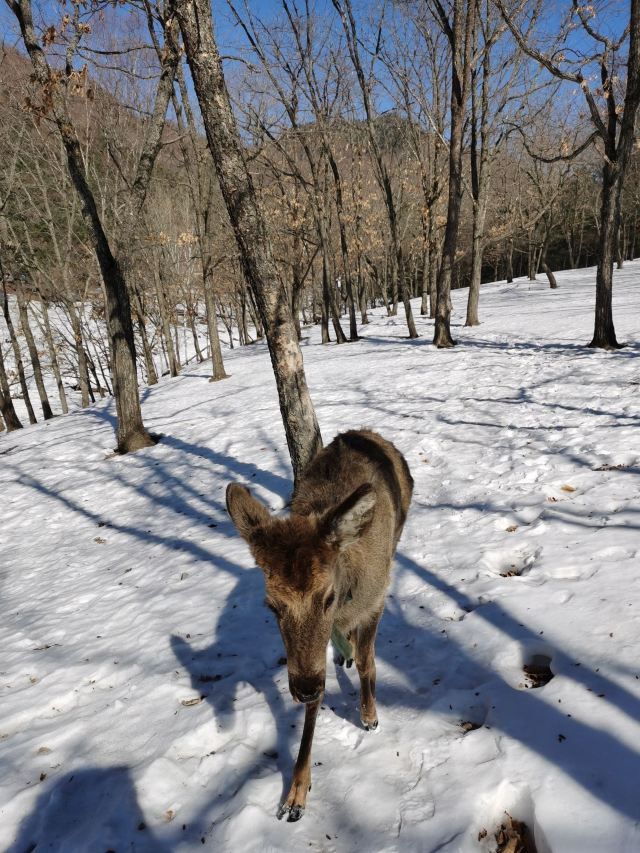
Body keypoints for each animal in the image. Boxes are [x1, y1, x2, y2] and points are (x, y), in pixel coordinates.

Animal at [225, 429, 413, 821]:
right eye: (272, 605)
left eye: (327, 596)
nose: (304, 689)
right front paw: (295, 795)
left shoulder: (377, 599)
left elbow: (368, 661)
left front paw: (370, 716)